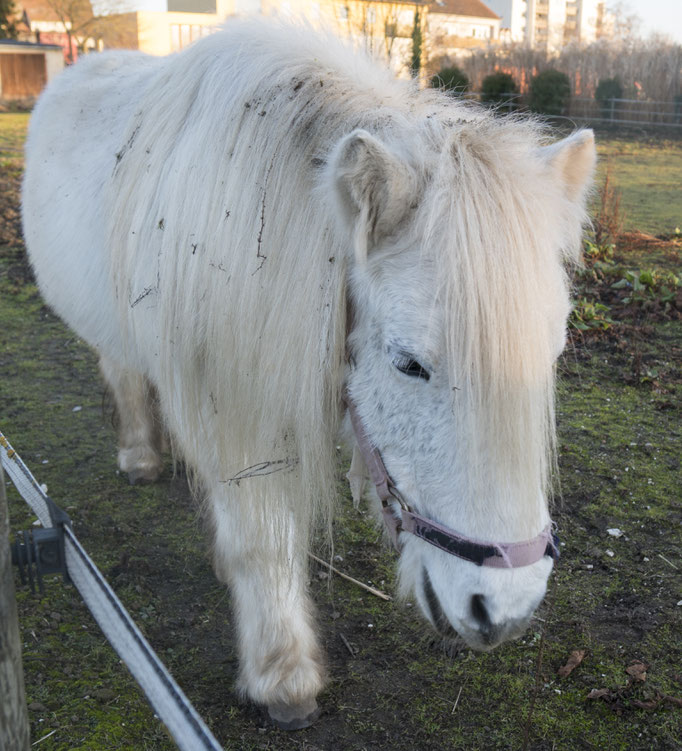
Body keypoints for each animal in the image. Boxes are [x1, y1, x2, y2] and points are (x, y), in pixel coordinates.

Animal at [23, 19, 592, 728]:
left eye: (551, 353)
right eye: (409, 364)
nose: (506, 608)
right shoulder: (232, 411)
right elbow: (262, 539)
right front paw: (282, 674)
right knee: (123, 371)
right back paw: (140, 456)